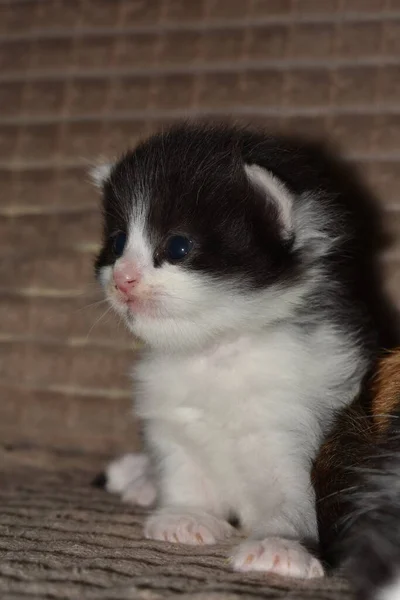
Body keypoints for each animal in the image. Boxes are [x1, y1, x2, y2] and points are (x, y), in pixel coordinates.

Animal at [92, 124, 382, 580]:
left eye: (177, 247)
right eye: (118, 242)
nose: (123, 280)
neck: (217, 349)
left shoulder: (302, 424)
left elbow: (295, 494)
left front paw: (279, 545)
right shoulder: (171, 418)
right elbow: (181, 465)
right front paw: (184, 516)